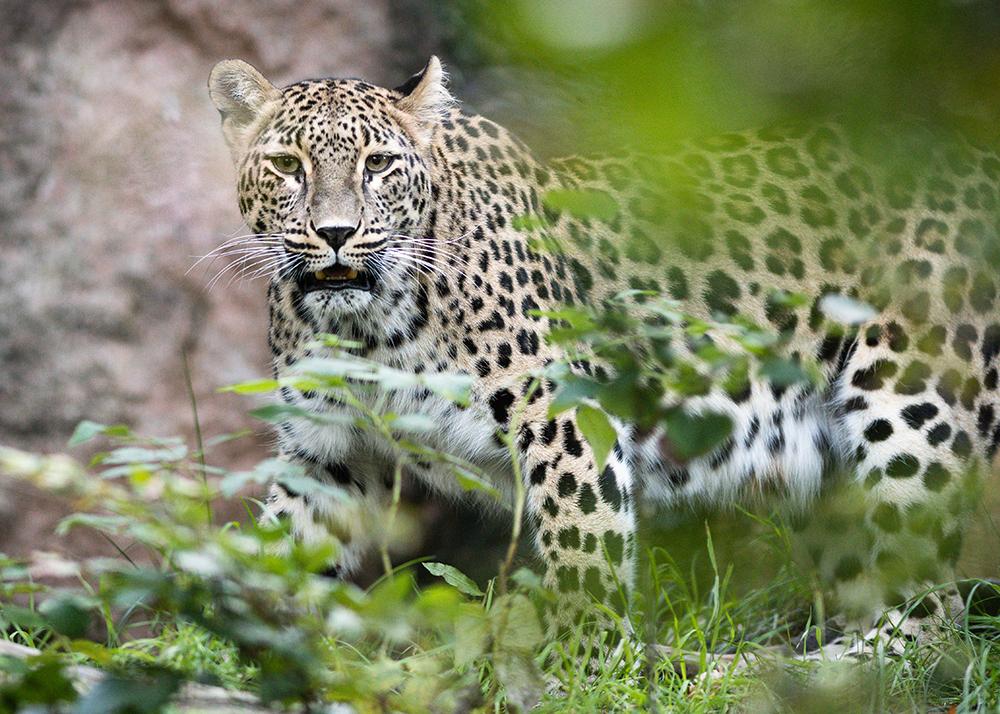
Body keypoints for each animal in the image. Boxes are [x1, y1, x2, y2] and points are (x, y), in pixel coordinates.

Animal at [207, 55, 1000, 656]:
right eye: (286, 164)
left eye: (377, 164)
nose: (336, 233)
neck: (370, 328)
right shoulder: (327, 451)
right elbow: (279, 551)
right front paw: (242, 642)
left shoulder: (561, 412)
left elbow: (584, 549)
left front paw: (584, 668)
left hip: (911, 404)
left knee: (934, 615)